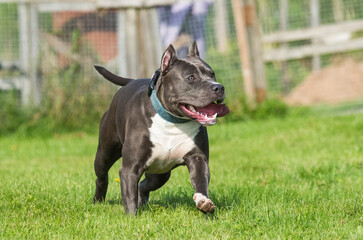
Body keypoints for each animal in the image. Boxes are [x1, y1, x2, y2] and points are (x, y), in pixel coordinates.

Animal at [94, 42, 230, 215]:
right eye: (191, 77)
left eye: (212, 74)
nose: (218, 87)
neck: (173, 122)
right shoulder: (130, 168)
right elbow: (129, 195)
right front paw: (131, 217)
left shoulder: (198, 159)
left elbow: (201, 181)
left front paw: (204, 202)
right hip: (105, 153)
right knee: (102, 176)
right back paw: (97, 201)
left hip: (159, 173)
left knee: (143, 185)